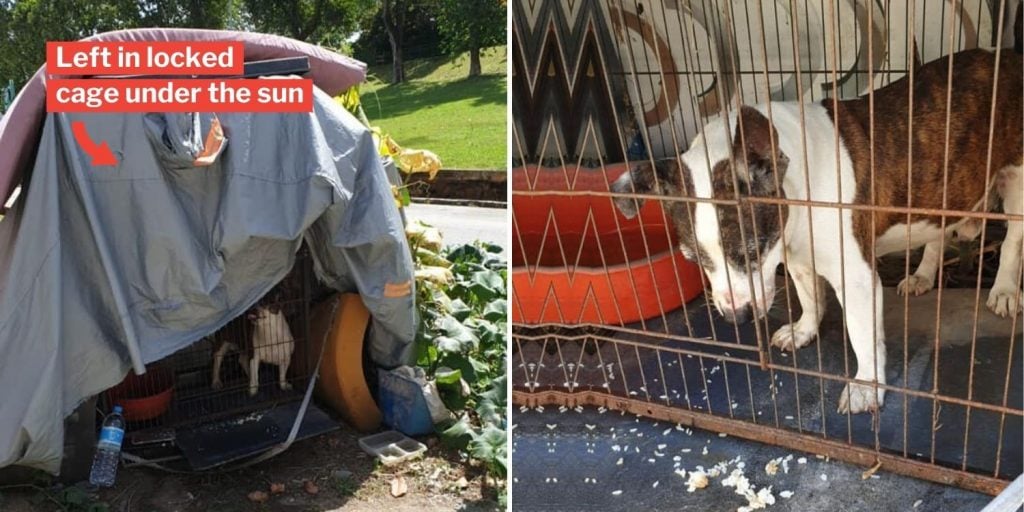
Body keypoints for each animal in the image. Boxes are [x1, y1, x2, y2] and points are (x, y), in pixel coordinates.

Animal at [610, 48, 1019, 415]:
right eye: (694, 259)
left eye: (752, 251)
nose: (736, 317)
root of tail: (1005, 55)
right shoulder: (796, 255)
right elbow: (810, 297)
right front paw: (804, 329)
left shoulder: (855, 278)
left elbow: (861, 332)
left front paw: (866, 387)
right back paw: (922, 275)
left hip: (1018, 180)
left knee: (1013, 241)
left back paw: (1003, 290)